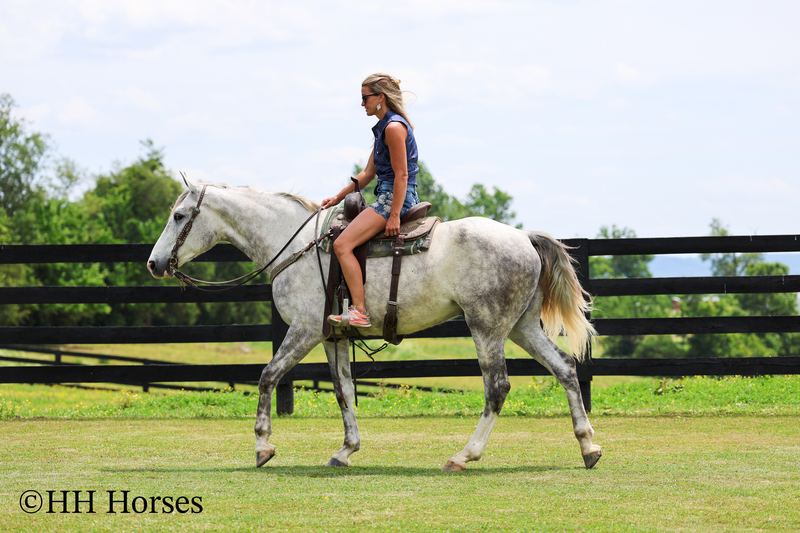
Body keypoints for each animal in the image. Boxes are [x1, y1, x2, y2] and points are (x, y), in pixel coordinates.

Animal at [147, 177, 603, 471]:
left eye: (180, 215)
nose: (154, 263)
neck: (295, 245)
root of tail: (524, 237)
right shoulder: (331, 336)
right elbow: (343, 391)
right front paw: (346, 450)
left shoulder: (304, 331)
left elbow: (267, 377)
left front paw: (263, 445)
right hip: (522, 327)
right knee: (565, 369)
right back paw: (588, 446)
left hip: (486, 328)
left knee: (497, 387)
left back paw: (464, 456)